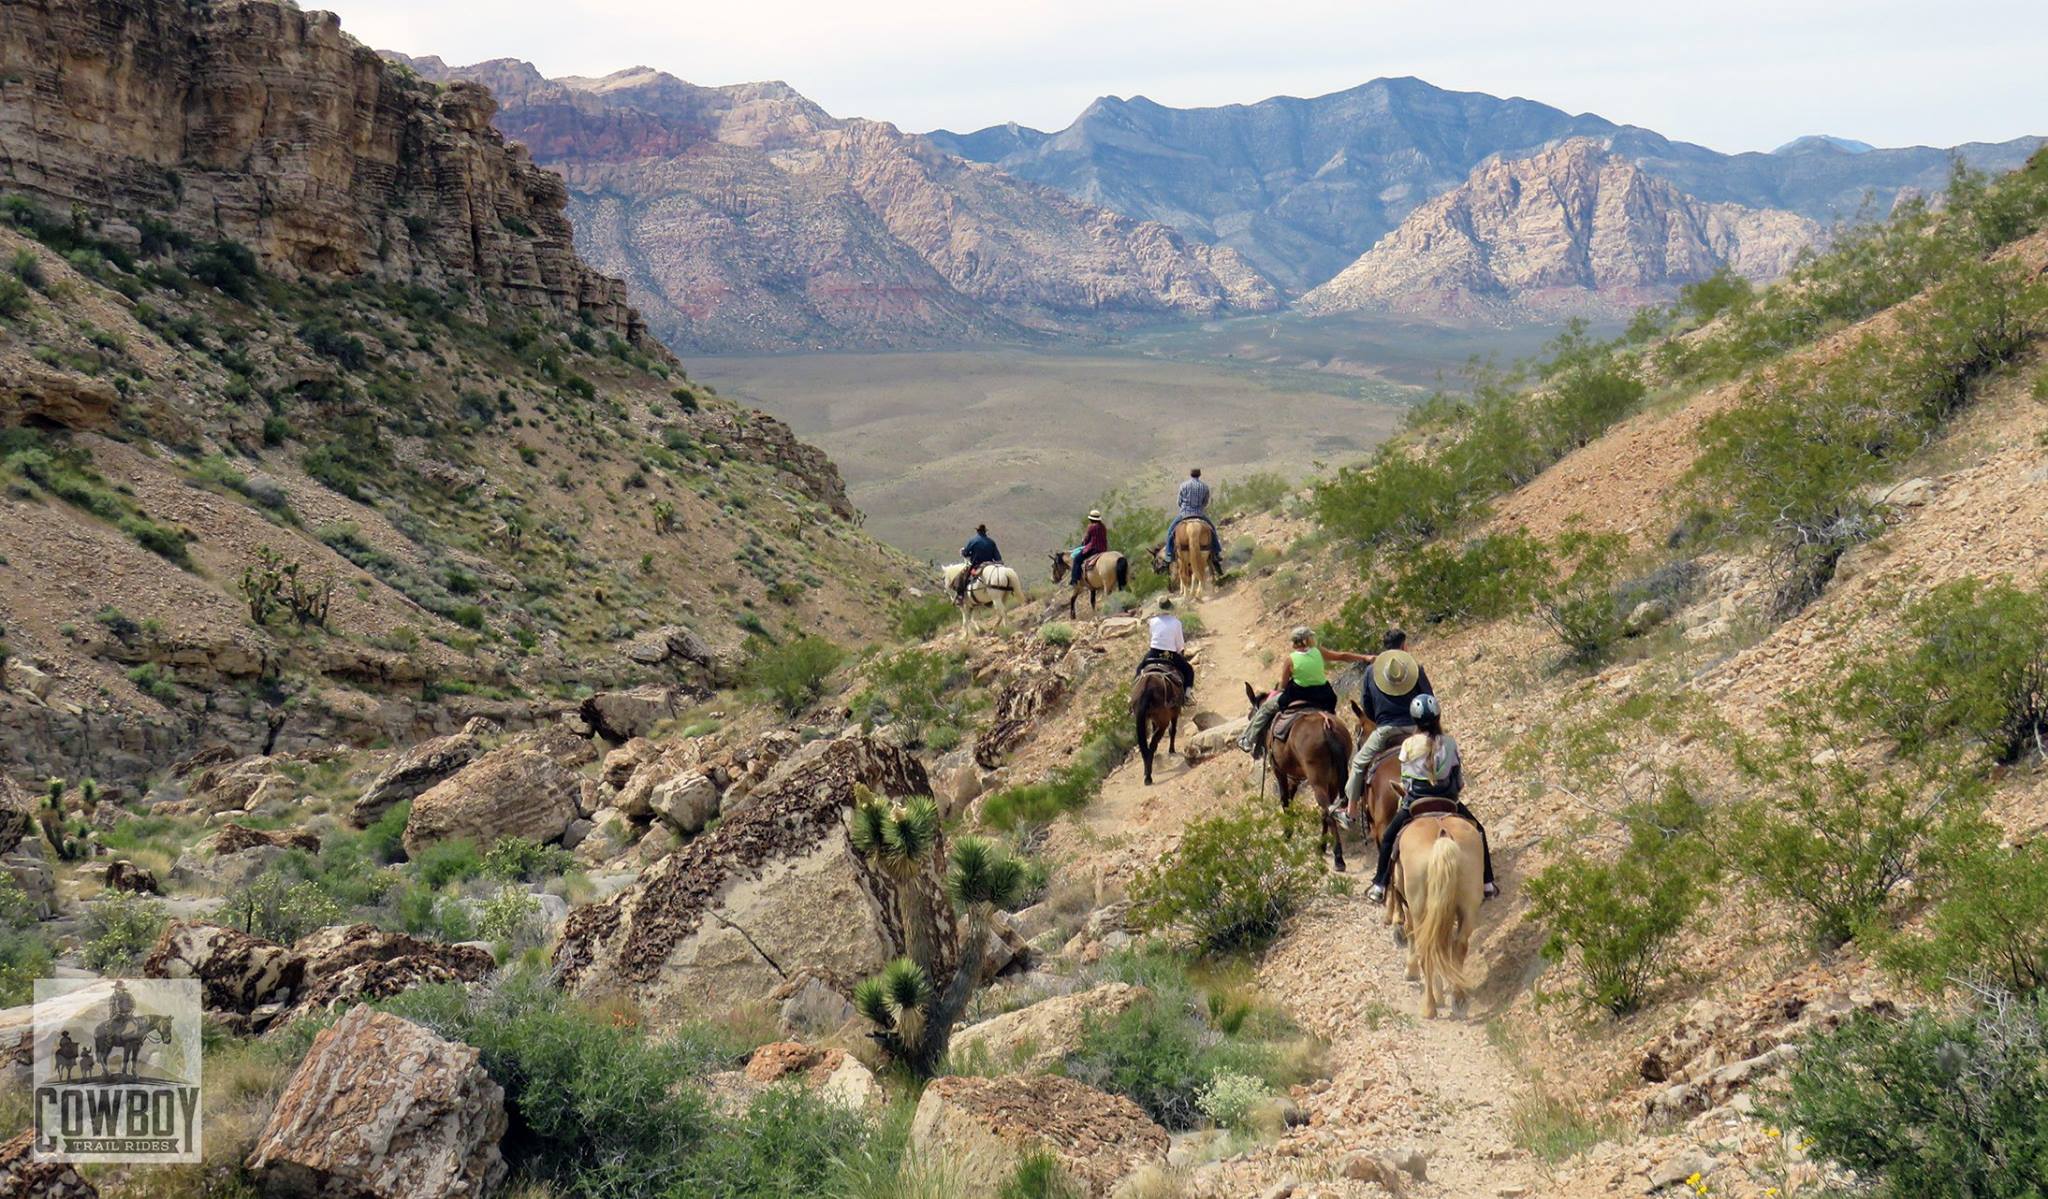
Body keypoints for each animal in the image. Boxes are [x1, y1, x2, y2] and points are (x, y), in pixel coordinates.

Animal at [1245, 684, 1359, 869]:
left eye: (1250, 717)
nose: (1255, 751)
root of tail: (1327, 727)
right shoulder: (1295, 777)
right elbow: (1291, 798)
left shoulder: (1279, 770)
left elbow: (1284, 799)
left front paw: (1287, 832)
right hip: (1333, 781)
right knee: (1327, 810)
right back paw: (1322, 845)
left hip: (1317, 781)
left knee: (1327, 811)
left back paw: (1338, 856)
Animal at [1384, 807, 1482, 1016]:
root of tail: (1443, 836)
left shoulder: (1412, 910)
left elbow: (1411, 933)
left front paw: (1411, 971)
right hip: (1468, 907)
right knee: (1458, 946)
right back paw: (1458, 998)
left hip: (1420, 908)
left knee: (1426, 950)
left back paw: (1429, 1007)